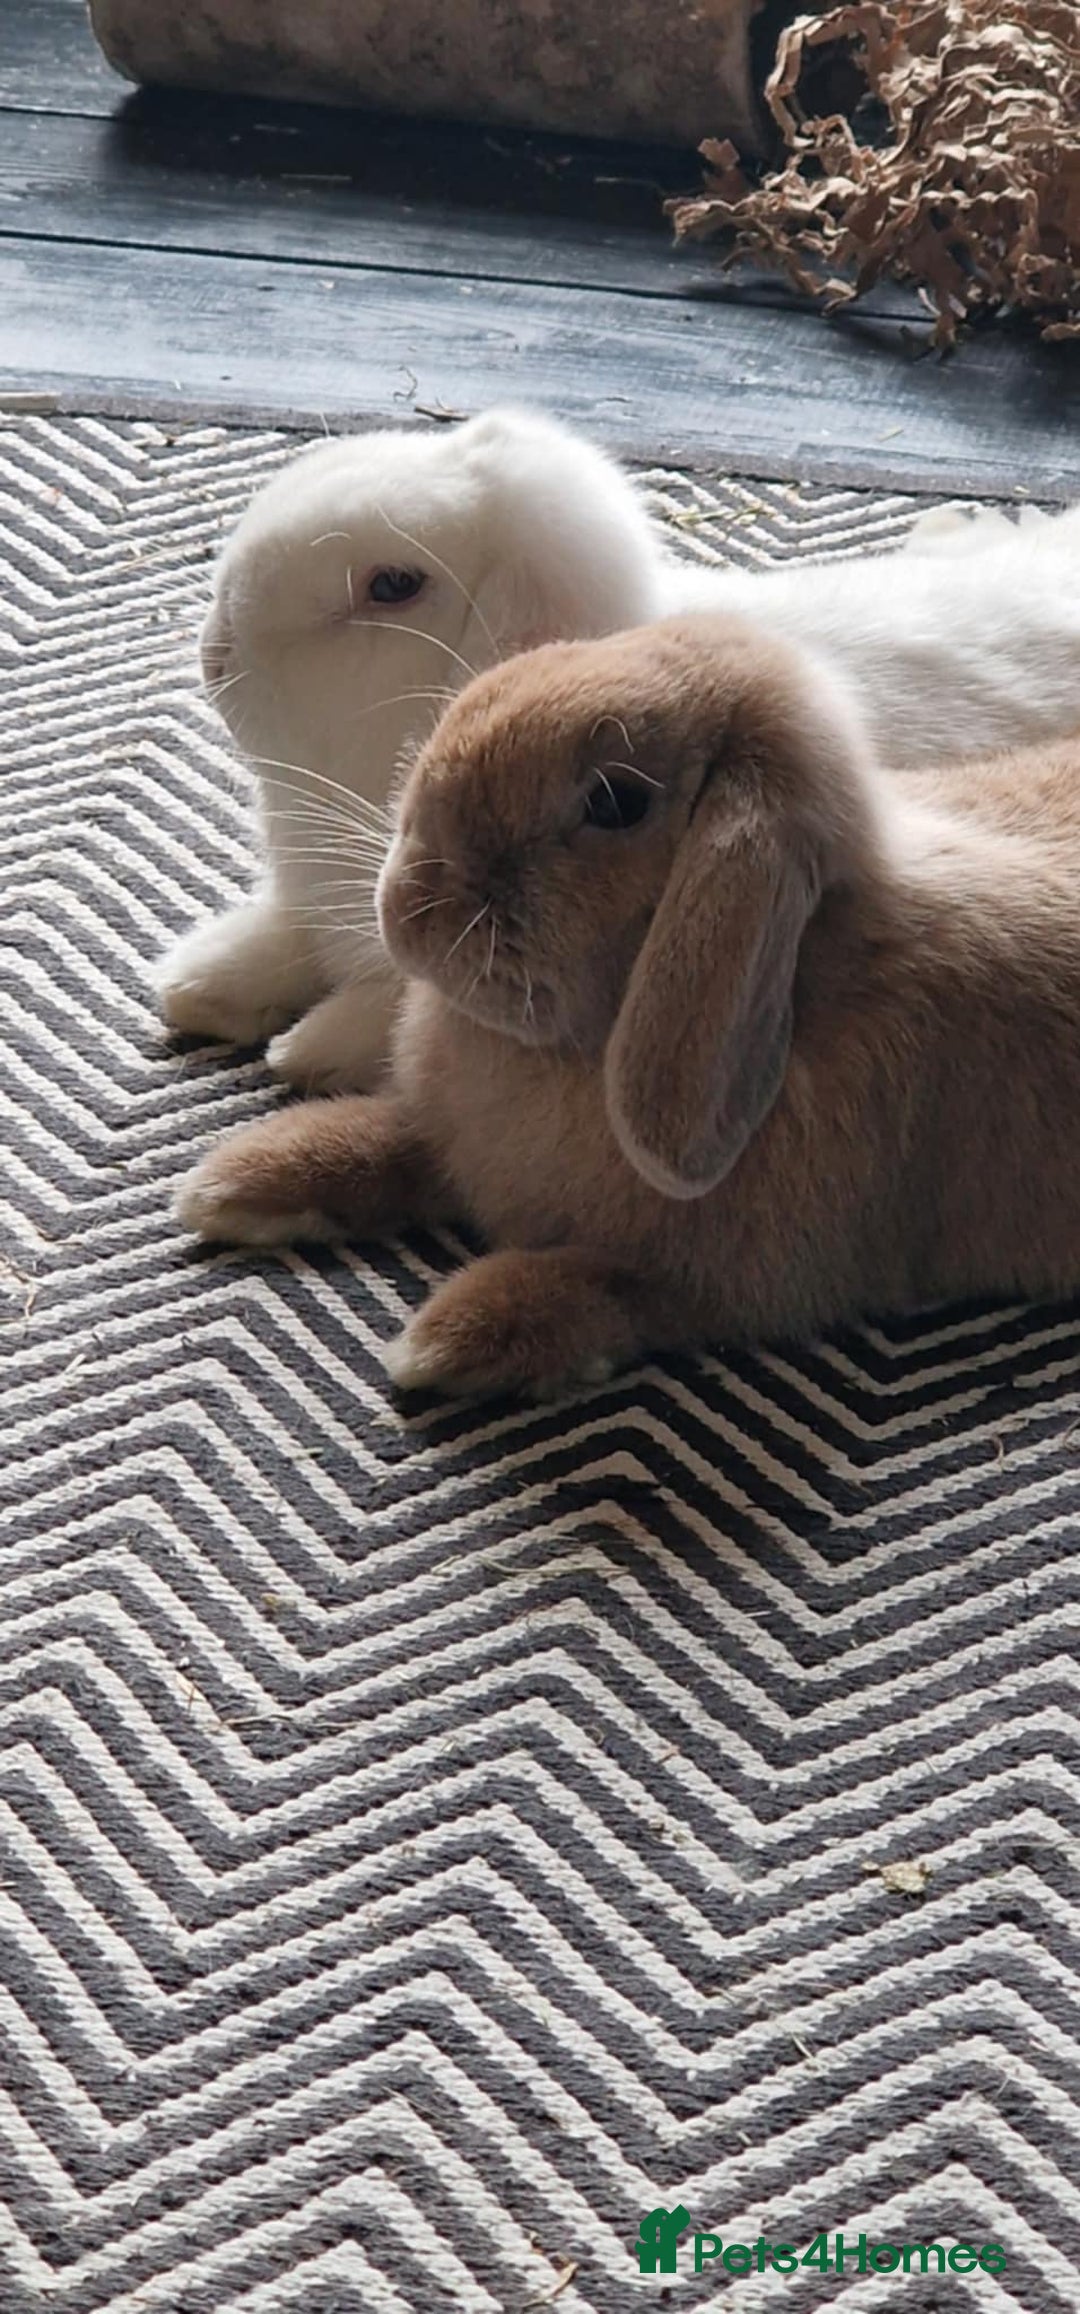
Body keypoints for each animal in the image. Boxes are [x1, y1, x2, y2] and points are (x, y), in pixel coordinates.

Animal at [156, 399, 1080, 1093]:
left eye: (392, 586)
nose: (214, 654)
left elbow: (385, 1010)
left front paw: (302, 1051)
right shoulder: (318, 895)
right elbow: (277, 938)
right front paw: (194, 984)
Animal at [174, 612, 1080, 1403]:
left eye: (614, 803)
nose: (406, 903)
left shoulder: (729, 1281)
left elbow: (607, 1287)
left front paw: (448, 1340)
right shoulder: (453, 1143)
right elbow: (389, 1143)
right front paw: (243, 1181)